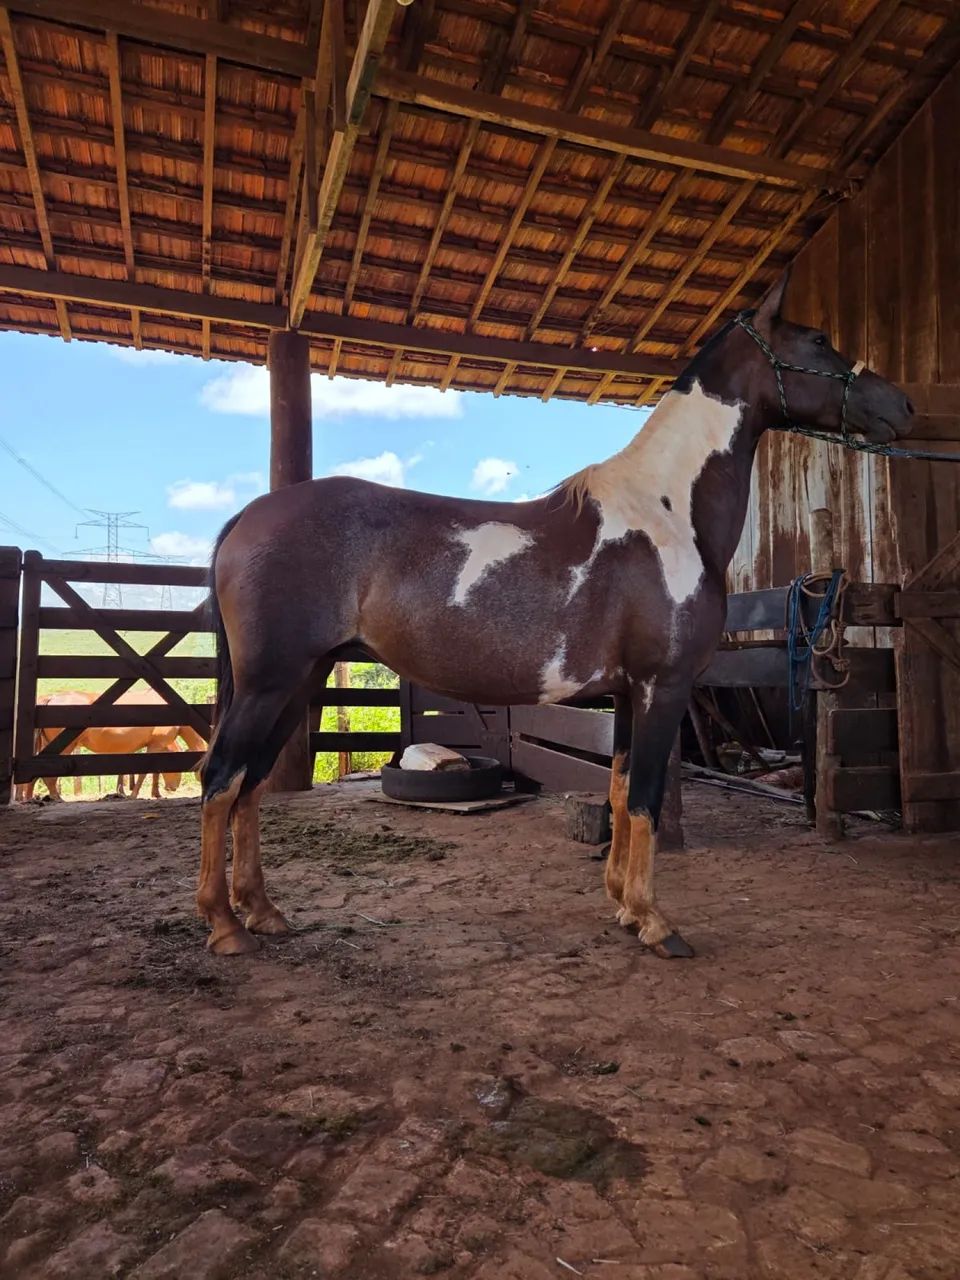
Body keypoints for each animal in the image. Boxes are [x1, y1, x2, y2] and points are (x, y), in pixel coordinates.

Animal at [198, 273, 913, 959]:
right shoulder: (663, 686)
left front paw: (624, 906)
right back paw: (225, 926)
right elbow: (647, 798)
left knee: (250, 785)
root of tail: (248, 517)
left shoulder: (627, 693)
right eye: (818, 339)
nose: (903, 406)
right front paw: (656, 923)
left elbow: (621, 791)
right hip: (269, 683)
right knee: (220, 779)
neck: (666, 510)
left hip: (300, 681)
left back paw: (262, 912)